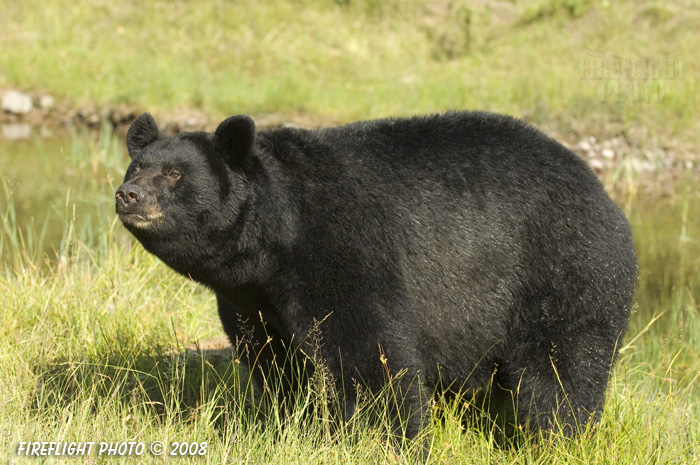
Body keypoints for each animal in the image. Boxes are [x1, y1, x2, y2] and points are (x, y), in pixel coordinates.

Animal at [116, 111, 640, 446]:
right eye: (135, 166)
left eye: (175, 174)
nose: (129, 195)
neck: (274, 245)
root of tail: (608, 199)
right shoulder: (252, 299)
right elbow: (275, 358)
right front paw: (291, 422)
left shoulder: (344, 249)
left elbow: (368, 353)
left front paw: (380, 438)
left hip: (564, 272)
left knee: (561, 371)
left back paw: (554, 438)